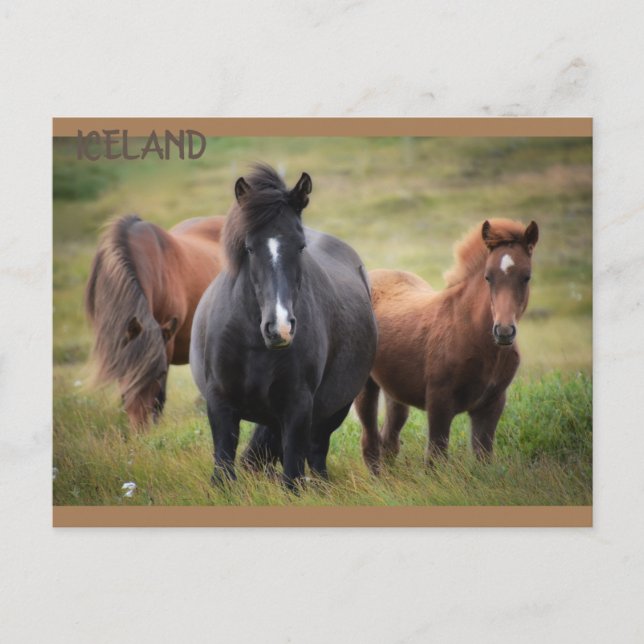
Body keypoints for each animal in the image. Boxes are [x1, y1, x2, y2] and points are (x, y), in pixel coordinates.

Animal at [190, 164, 377, 490]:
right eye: (249, 248)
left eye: (300, 246)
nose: (280, 328)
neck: (253, 343)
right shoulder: (219, 402)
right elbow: (224, 469)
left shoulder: (298, 406)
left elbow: (292, 475)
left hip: (333, 410)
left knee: (316, 454)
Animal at [355, 218, 539, 474]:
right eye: (488, 277)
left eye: (527, 276)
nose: (503, 332)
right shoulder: (439, 401)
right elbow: (435, 458)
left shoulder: (491, 404)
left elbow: (483, 457)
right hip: (365, 386)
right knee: (370, 441)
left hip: (395, 389)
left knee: (389, 440)